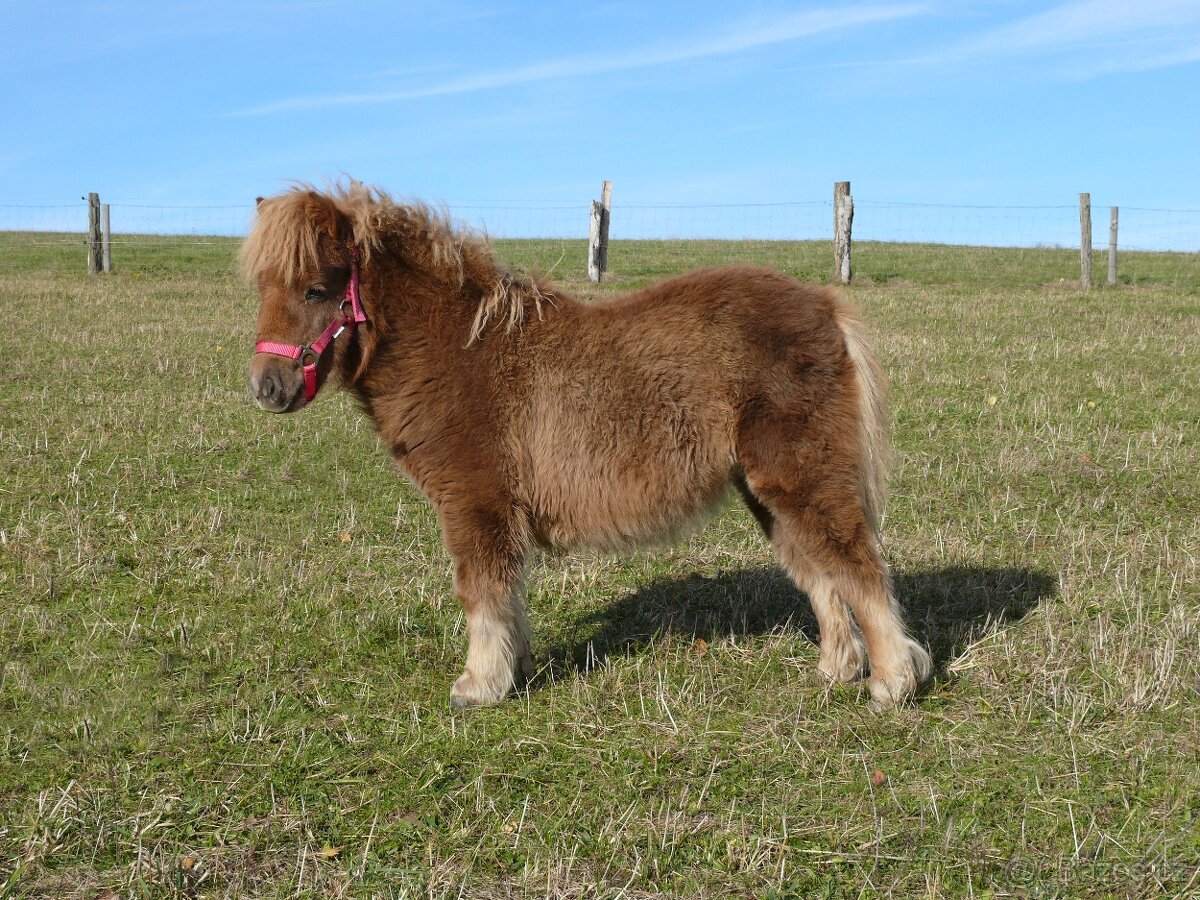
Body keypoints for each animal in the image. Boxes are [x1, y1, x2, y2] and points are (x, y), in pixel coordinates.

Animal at [242, 183, 932, 710]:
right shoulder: (497, 512)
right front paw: (515, 669)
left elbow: (481, 592)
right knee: (820, 571)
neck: (457, 353)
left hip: (801, 476)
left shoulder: (474, 503)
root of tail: (826, 305)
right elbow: (507, 595)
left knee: (857, 566)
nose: (266, 388)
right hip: (769, 491)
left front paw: (478, 686)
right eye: (262, 289)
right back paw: (838, 671)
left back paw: (894, 683)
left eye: (314, 289)